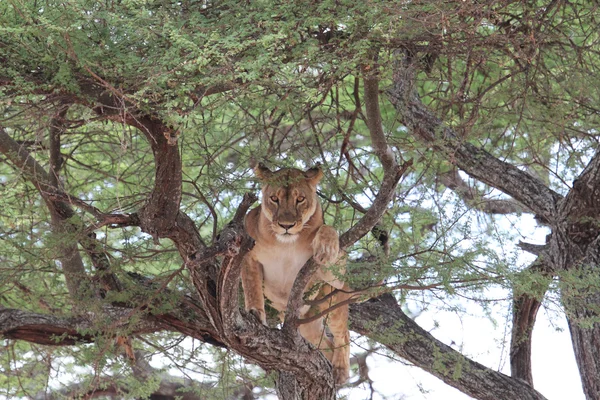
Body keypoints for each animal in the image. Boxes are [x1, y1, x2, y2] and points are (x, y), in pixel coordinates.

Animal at [240, 163, 352, 384]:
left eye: (300, 199)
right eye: (274, 199)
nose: (286, 226)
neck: (285, 244)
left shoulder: (334, 276)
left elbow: (328, 228)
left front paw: (326, 247)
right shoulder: (247, 256)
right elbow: (252, 288)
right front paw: (256, 314)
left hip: (332, 301)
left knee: (343, 335)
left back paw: (340, 369)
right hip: (307, 326)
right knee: (324, 345)